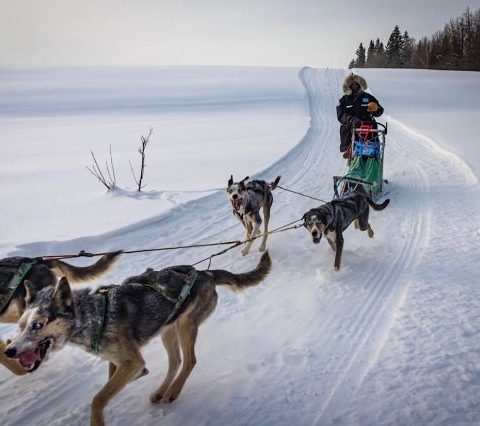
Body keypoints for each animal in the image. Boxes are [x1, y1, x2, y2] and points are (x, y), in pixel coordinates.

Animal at [5, 251, 272, 424]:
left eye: (37, 325)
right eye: (20, 327)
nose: (9, 351)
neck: (97, 315)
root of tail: (204, 273)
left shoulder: (131, 361)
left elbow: (98, 399)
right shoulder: (119, 361)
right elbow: (111, 383)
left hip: (186, 326)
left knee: (189, 361)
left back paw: (173, 391)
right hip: (168, 330)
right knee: (175, 361)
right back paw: (163, 390)